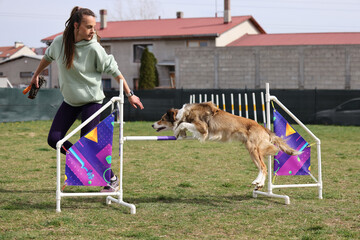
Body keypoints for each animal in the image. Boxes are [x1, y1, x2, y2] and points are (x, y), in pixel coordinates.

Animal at [153, 101, 300, 189]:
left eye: (162, 119)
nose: (152, 125)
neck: (185, 113)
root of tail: (263, 128)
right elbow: (184, 126)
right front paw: (181, 133)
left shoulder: (203, 128)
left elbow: (183, 124)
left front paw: (177, 130)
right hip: (251, 150)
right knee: (261, 167)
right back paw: (258, 183)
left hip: (253, 149)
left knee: (263, 167)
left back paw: (259, 182)